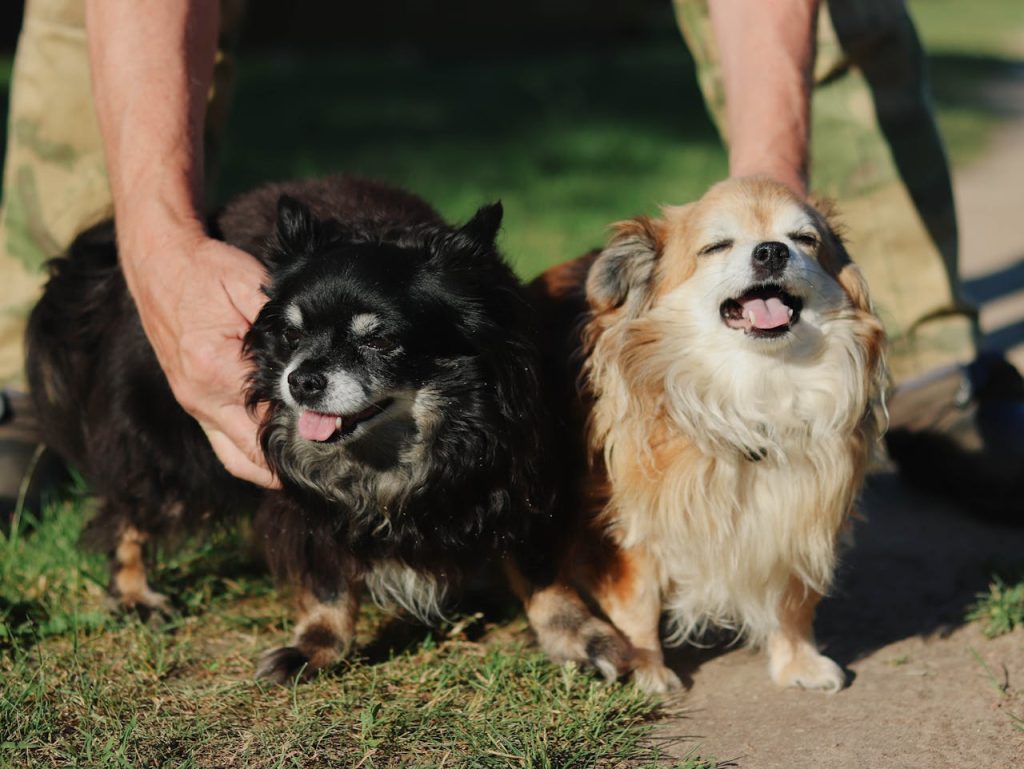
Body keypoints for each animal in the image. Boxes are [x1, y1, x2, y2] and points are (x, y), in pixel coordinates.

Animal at [25, 177, 630, 684]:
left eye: (379, 340)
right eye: (291, 336)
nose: (301, 379)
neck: (391, 453)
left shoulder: (515, 476)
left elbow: (540, 568)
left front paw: (577, 635)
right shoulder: (299, 500)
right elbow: (328, 578)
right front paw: (317, 647)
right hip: (165, 441)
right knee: (128, 508)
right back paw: (134, 592)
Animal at [532, 177, 884, 696]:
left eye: (805, 240)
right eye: (716, 247)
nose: (771, 251)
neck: (754, 392)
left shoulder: (798, 509)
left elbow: (792, 600)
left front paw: (798, 662)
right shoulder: (628, 522)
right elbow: (638, 600)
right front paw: (647, 668)